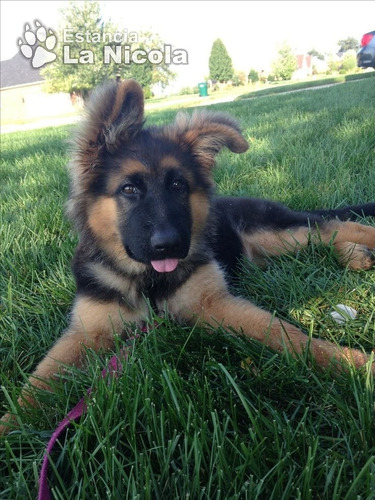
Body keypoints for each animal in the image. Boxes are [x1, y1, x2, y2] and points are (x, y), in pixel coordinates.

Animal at [0, 80, 375, 432]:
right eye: (128, 189)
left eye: (178, 185)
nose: (168, 245)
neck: (147, 281)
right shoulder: (87, 331)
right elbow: (35, 385)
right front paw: (9, 429)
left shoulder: (211, 303)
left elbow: (289, 336)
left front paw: (355, 365)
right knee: (327, 236)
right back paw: (355, 257)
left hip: (279, 232)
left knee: (337, 225)